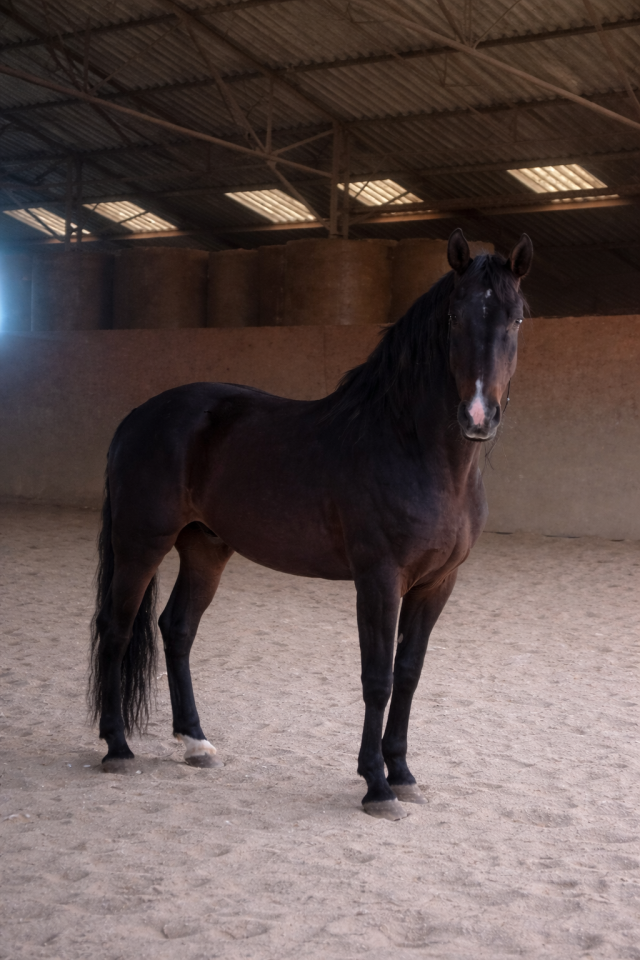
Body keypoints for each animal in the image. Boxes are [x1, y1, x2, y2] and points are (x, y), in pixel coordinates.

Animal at [89, 227, 533, 821]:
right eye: (456, 316)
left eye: (516, 318)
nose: (479, 416)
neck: (413, 449)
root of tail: (137, 418)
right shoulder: (379, 580)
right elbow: (378, 678)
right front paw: (377, 786)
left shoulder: (437, 583)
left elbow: (409, 674)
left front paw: (404, 773)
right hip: (141, 542)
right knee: (115, 630)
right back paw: (117, 747)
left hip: (205, 549)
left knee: (176, 629)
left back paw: (196, 743)